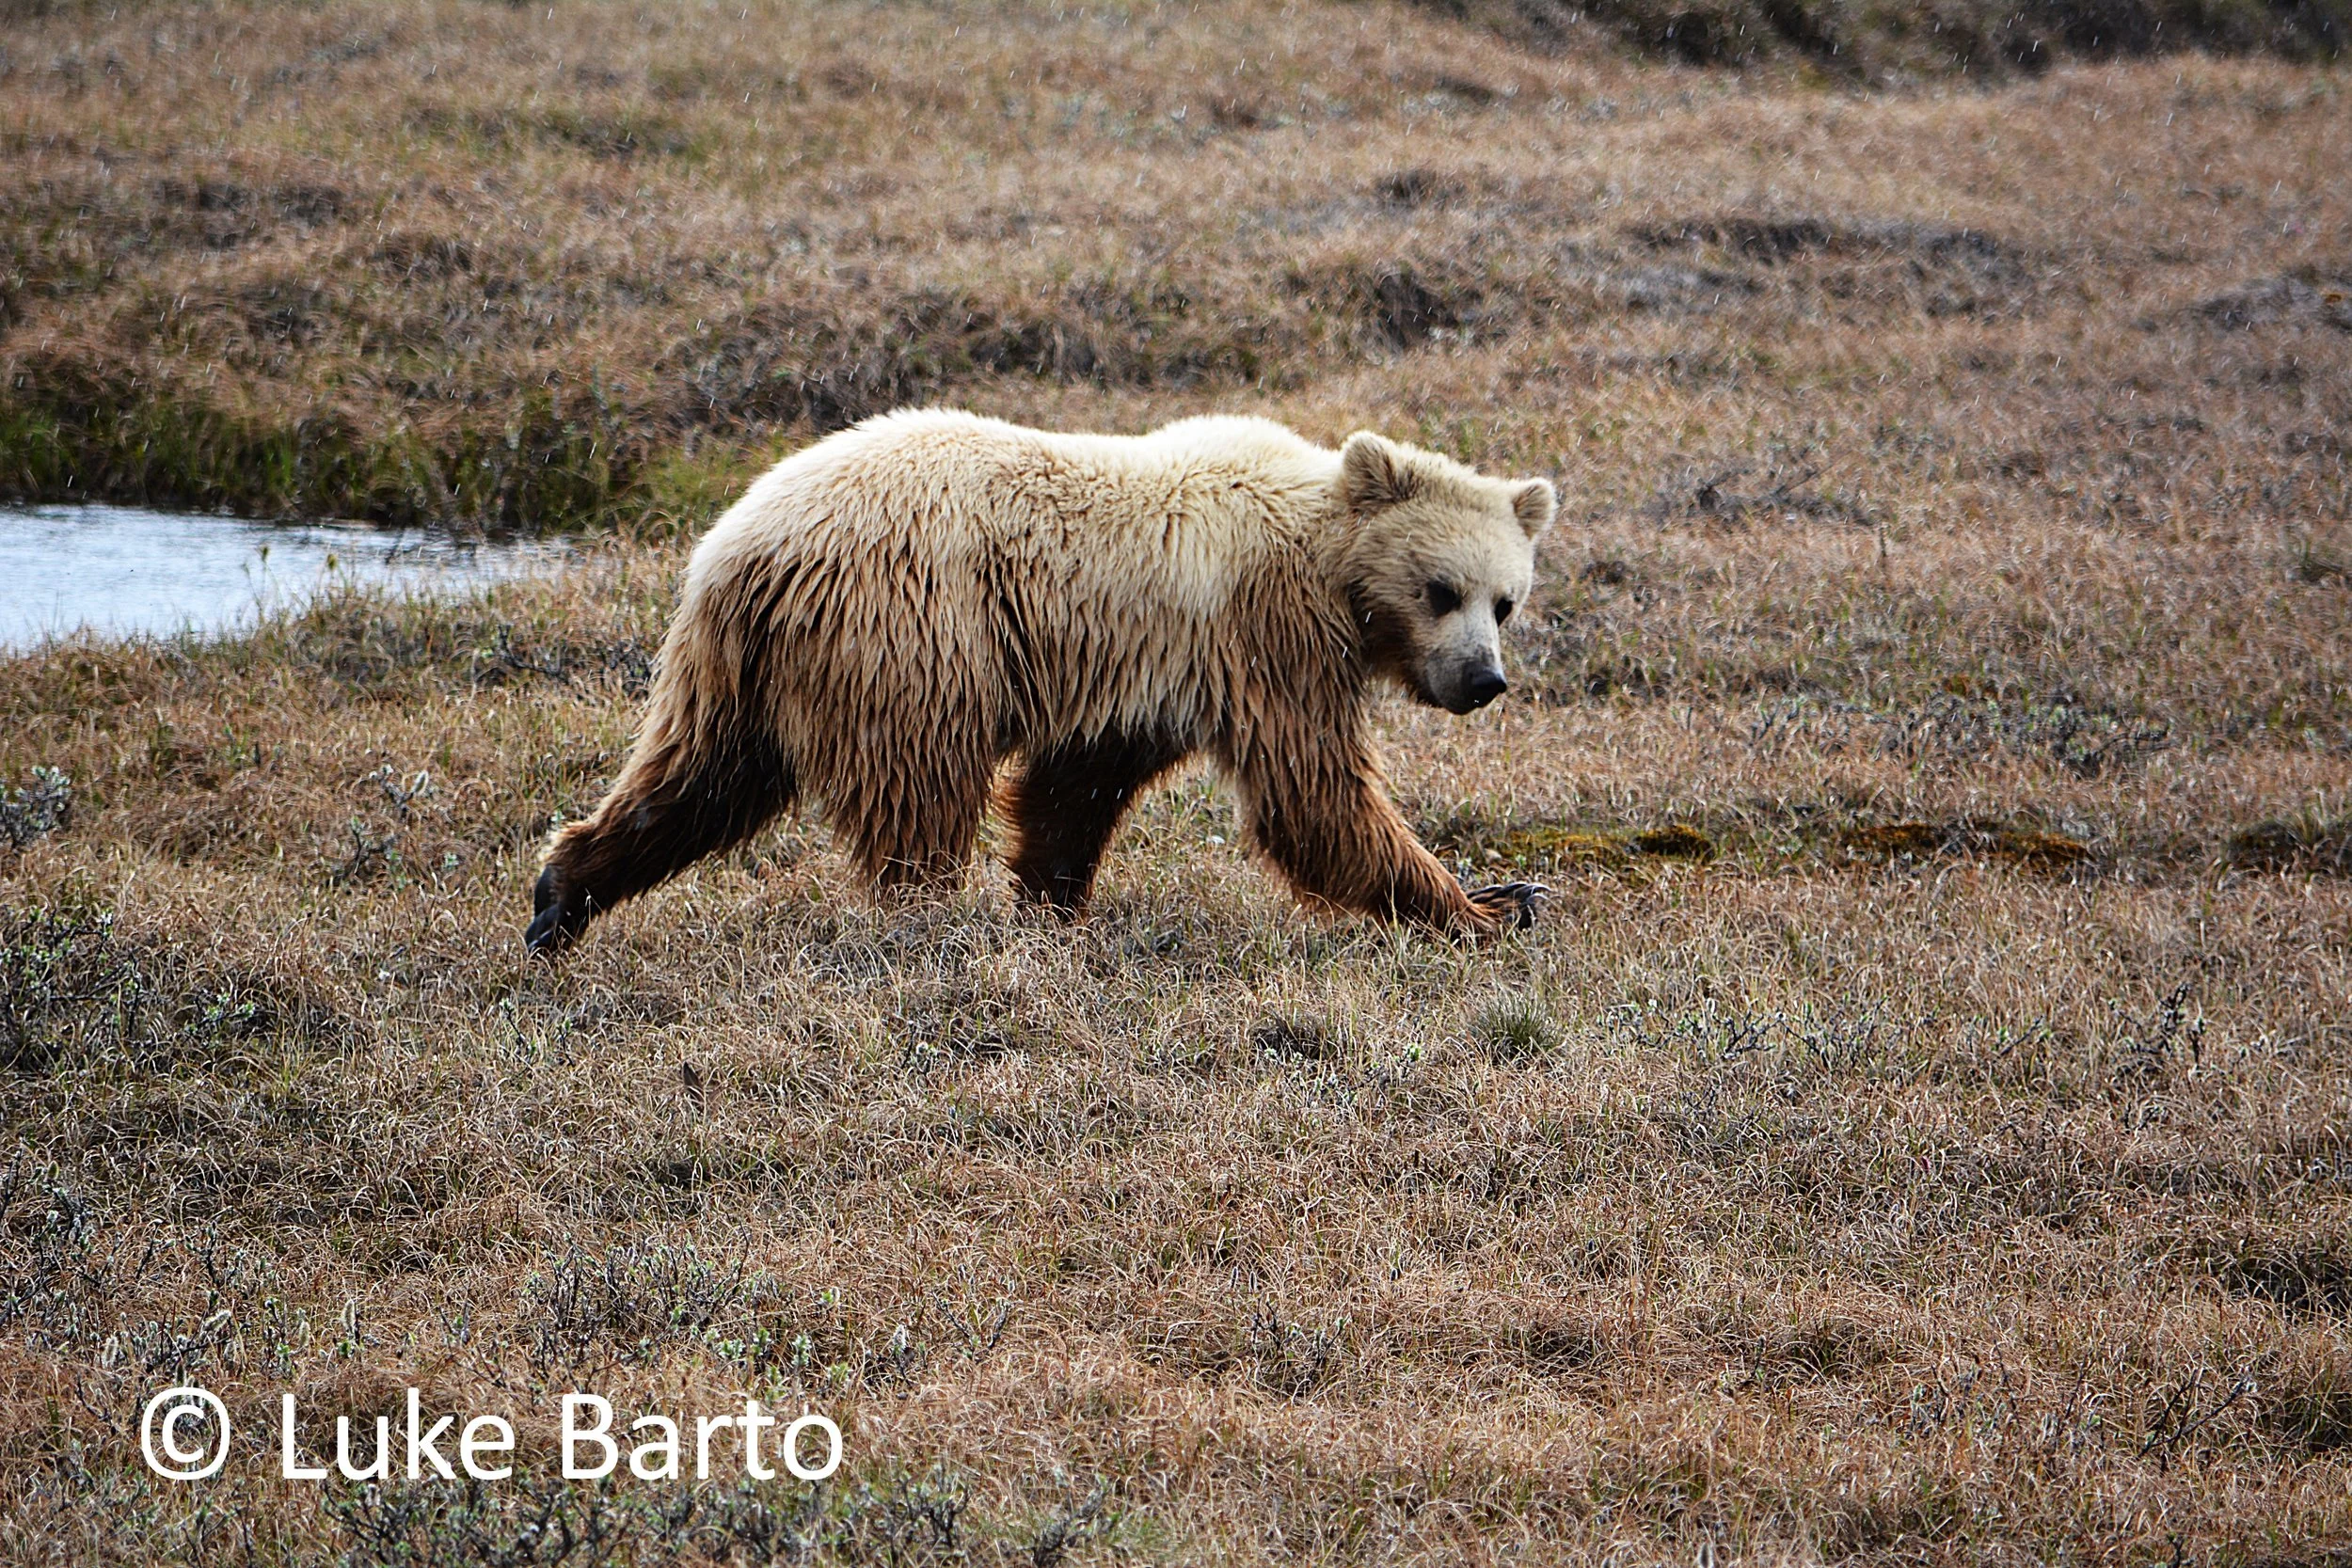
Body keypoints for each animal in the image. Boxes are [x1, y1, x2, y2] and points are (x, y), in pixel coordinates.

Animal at [526, 409, 1554, 954]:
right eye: (1441, 588)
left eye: (1505, 600)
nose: (1483, 679)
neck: (1328, 562)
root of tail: (746, 546)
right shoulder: (1264, 632)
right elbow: (1313, 793)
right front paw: (1489, 903)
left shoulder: (1148, 674)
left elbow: (1076, 788)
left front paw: (1053, 903)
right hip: (910, 629)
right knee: (917, 789)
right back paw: (927, 925)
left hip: (736, 668)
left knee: (696, 781)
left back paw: (561, 894)